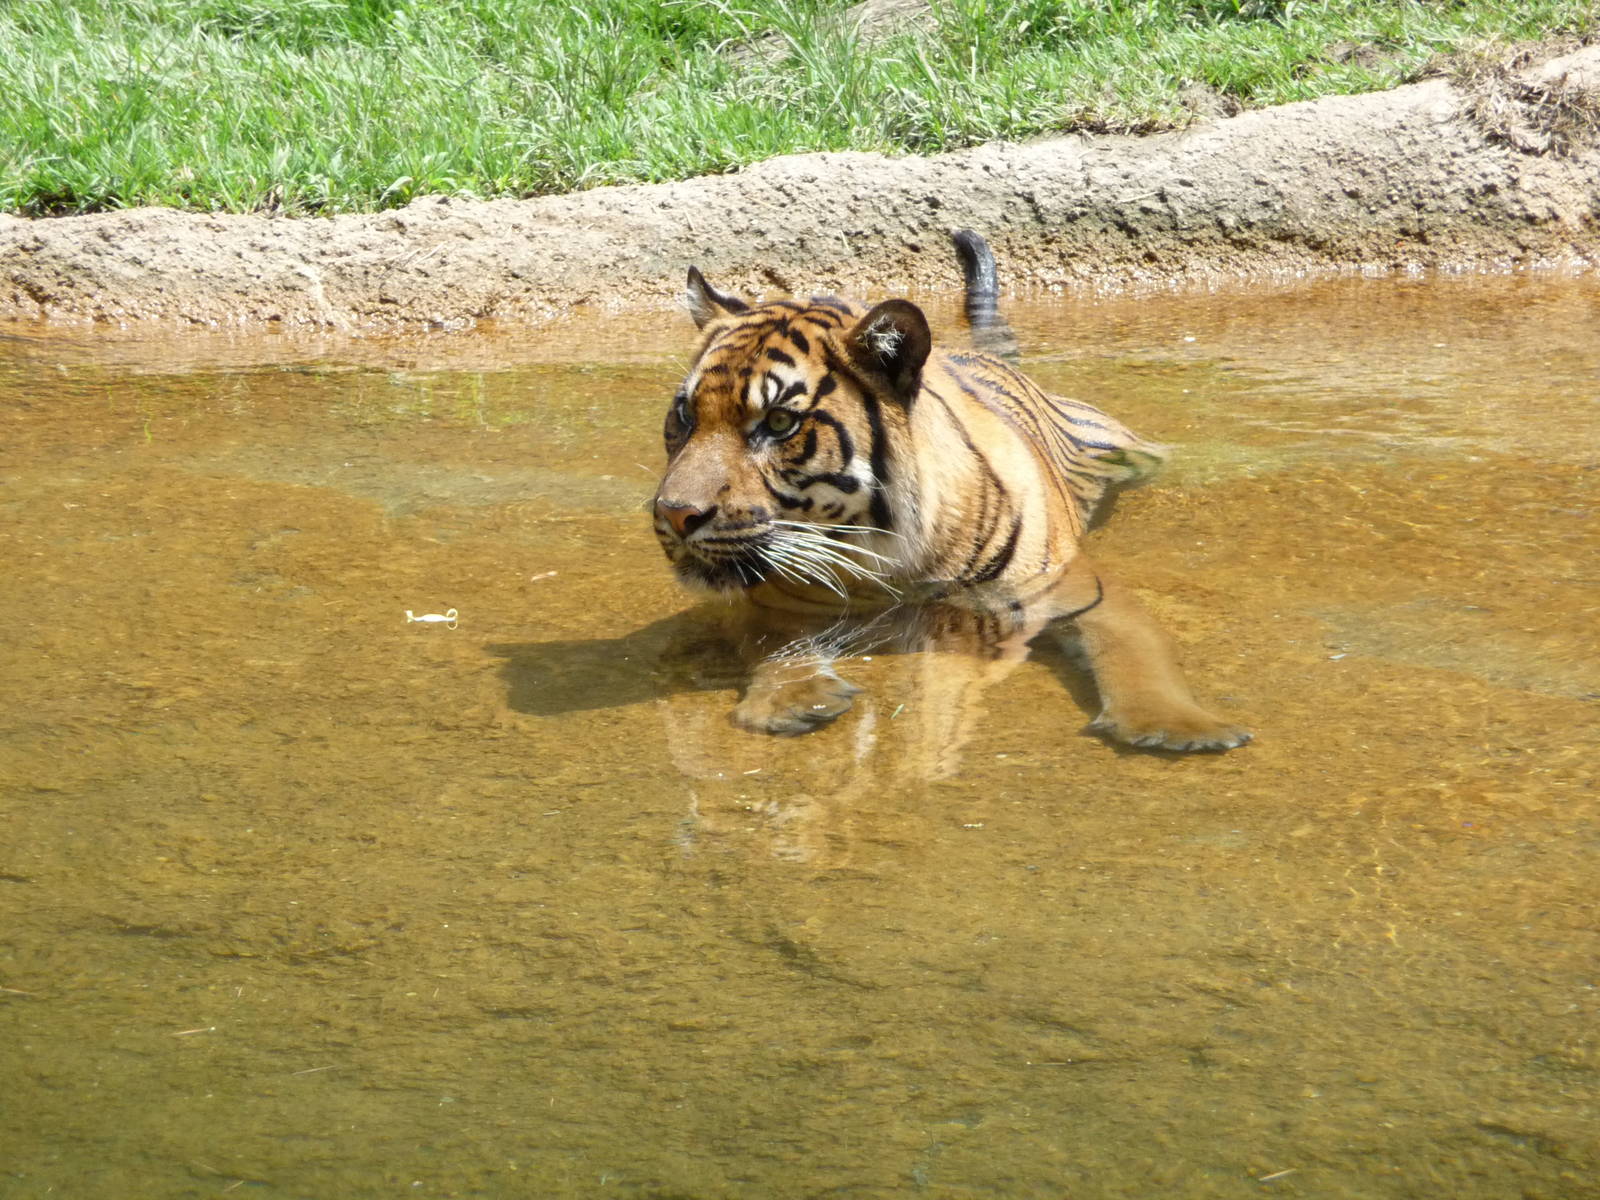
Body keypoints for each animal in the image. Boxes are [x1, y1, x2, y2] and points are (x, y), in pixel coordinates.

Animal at [651, 231, 1250, 753]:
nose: (675, 514)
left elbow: (1136, 651)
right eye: (685, 414)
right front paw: (792, 698)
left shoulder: (1074, 588)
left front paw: (1176, 726)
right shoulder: (773, 602)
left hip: (1125, 448)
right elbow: (773, 643)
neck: (881, 552)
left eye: (778, 422)